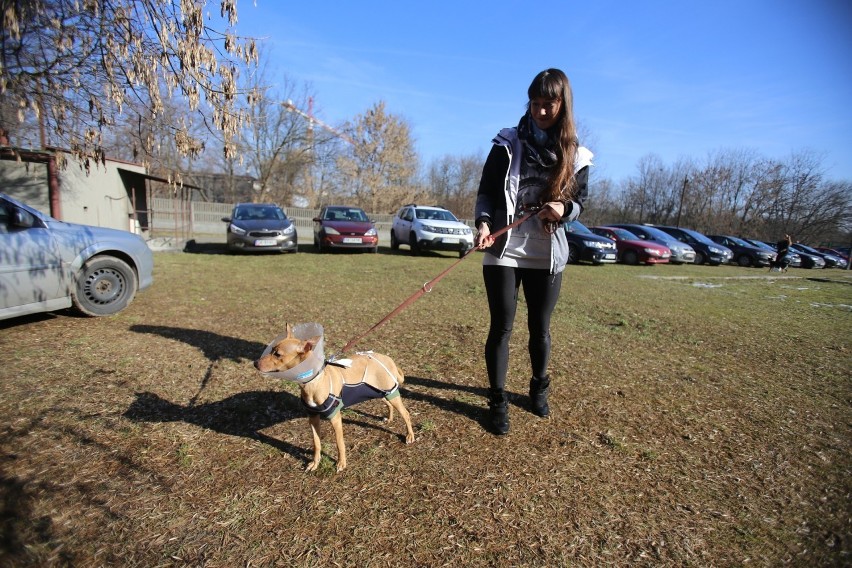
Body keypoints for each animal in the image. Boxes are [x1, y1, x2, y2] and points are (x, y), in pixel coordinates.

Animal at [253, 322, 412, 472]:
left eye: (278, 354)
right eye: (271, 349)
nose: (255, 363)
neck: (313, 382)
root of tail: (388, 358)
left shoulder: (335, 418)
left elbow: (339, 443)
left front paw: (341, 463)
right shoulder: (313, 417)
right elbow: (316, 443)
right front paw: (315, 463)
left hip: (391, 393)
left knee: (406, 414)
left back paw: (410, 435)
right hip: (380, 392)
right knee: (389, 405)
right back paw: (389, 419)